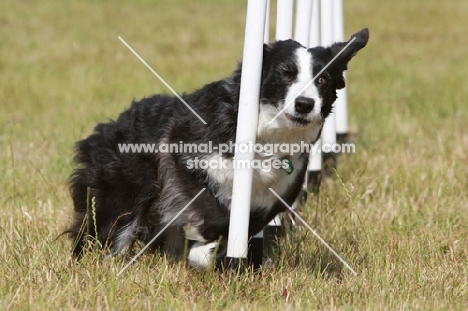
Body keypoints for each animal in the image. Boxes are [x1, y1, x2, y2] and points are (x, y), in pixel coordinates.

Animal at [67, 28, 370, 268]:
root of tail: (114, 123)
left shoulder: (278, 191)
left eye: (323, 80)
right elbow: (212, 210)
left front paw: (218, 255)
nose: (305, 104)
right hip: (121, 192)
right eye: (286, 74)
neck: (268, 135)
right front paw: (204, 248)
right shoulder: (181, 155)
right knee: (104, 226)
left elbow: (248, 224)